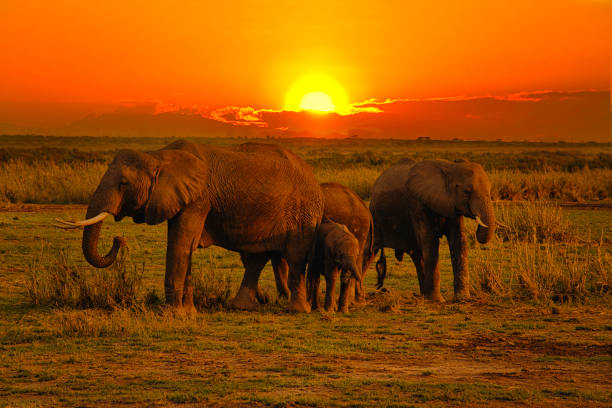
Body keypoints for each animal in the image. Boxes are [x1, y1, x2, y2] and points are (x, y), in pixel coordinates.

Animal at [56, 139, 326, 312]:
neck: (159, 156)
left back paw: (297, 311)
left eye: (123, 184)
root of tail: (313, 175)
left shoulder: (198, 199)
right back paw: (241, 307)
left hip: (303, 213)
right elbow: (185, 246)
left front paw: (171, 313)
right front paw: (187, 311)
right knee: (258, 258)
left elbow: (180, 244)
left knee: (295, 257)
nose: (118, 240)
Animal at [368, 158, 498, 302]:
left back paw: (424, 295)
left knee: (417, 256)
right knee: (370, 251)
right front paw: (438, 300)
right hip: (375, 220)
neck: (450, 168)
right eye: (467, 191)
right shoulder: (419, 204)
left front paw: (462, 298)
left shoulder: (452, 206)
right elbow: (431, 242)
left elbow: (459, 241)